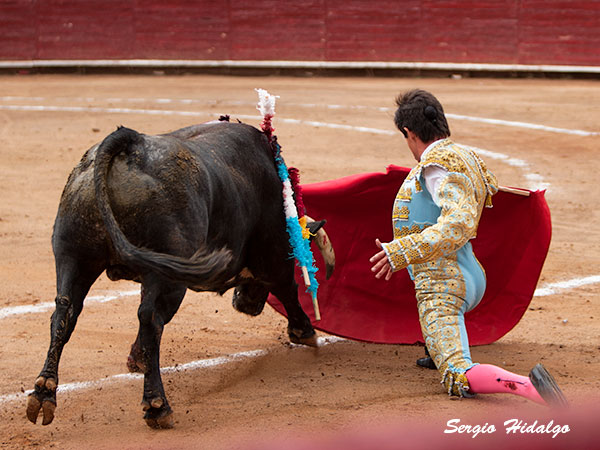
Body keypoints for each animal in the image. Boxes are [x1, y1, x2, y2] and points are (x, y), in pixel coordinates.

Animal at [26, 118, 333, 429]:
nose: (245, 304)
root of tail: (131, 141)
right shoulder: (273, 255)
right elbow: (288, 287)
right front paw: (305, 332)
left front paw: (135, 360)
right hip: (167, 275)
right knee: (151, 320)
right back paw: (157, 405)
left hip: (74, 257)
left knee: (66, 313)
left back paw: (43, 394)